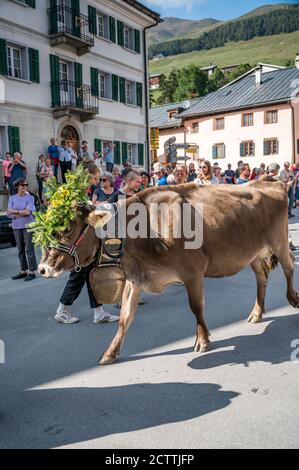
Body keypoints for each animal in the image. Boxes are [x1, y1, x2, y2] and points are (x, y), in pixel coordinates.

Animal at [38, 182, 298, 366]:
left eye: (66, 228)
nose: (42, 268)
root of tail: (271, 182)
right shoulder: (135, 279)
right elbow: (124, 318)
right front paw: (109, 353)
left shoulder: (192, 271)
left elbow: (196, 307)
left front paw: (202, 340)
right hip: (252, 253)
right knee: (262, 278)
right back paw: (256, 313)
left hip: (279, 241)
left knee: (288, 268)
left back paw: (293, 299)